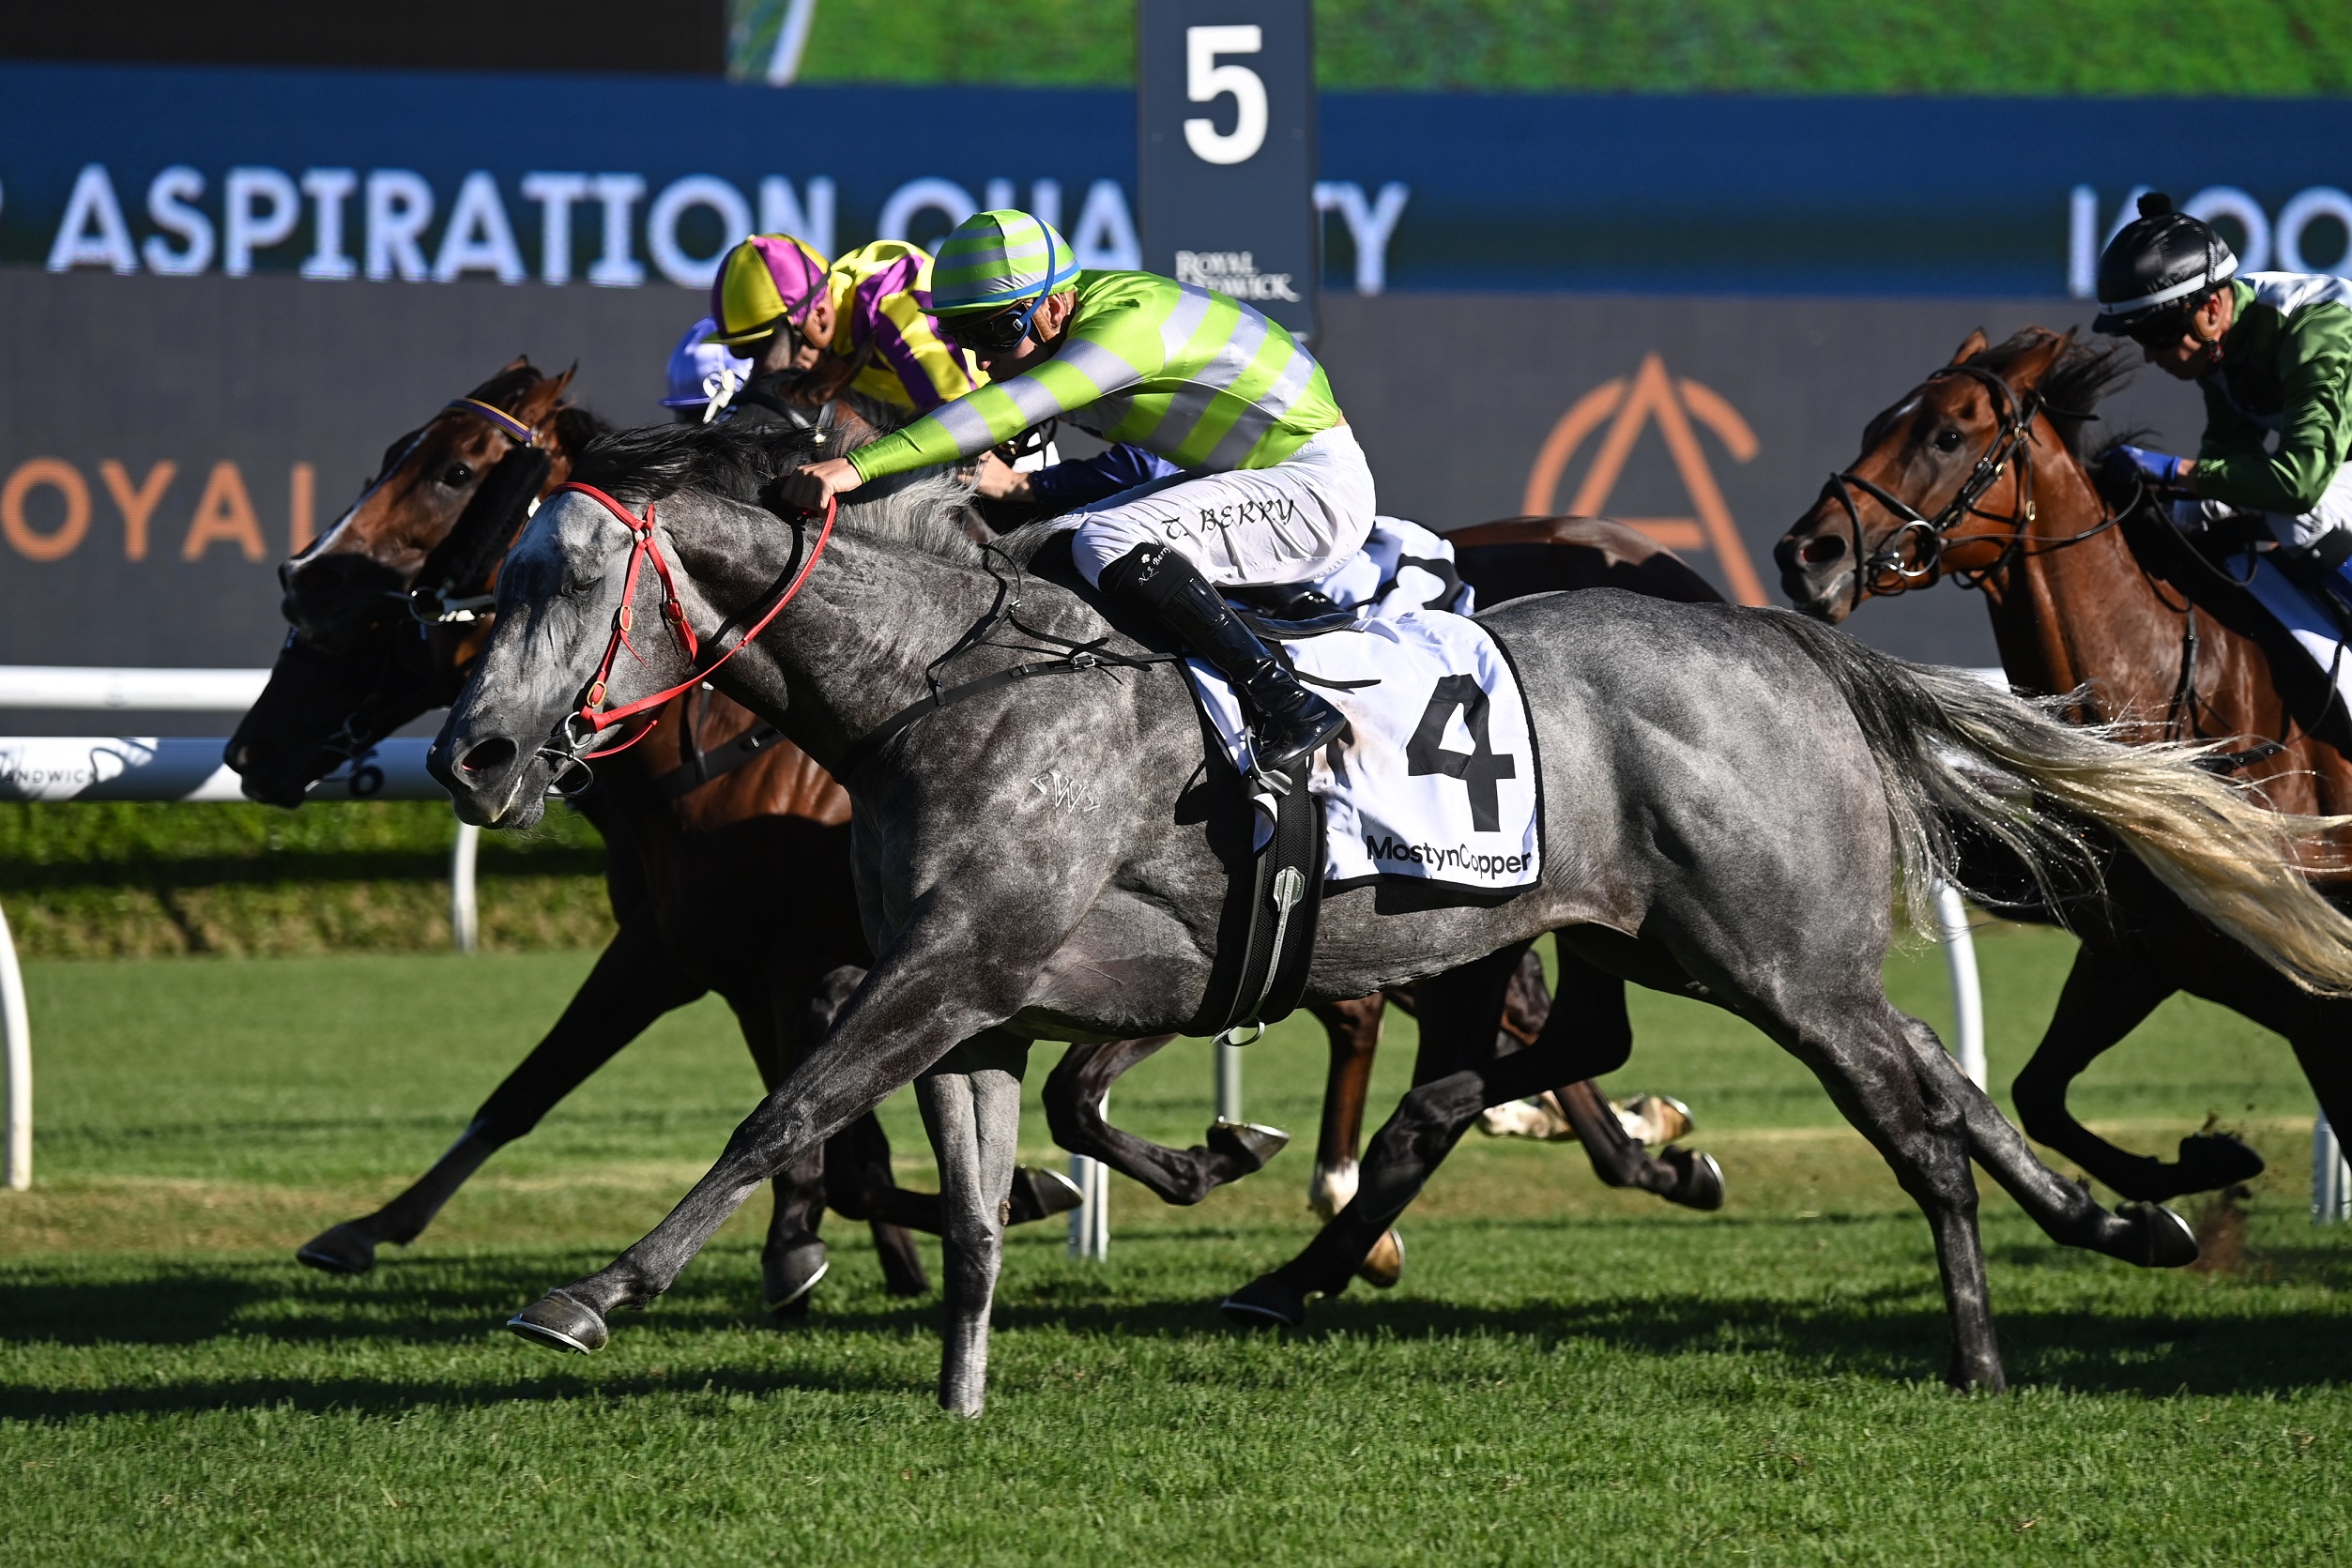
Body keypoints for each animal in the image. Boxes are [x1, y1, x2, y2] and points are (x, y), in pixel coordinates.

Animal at [237, 364, 1721, 1312]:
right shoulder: (719, 944)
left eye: (452, 467)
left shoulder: (820, 951)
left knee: (1474, 1035)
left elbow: (810, 1120)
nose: (304, 585)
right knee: (1505, 1031)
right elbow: (566, 1088)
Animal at [434, 415, 2352, 1411]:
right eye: (489, 583)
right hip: (1666, 941)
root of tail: (1783, 638)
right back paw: (2114, 1220)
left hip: (1775, 955)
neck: (939, 685)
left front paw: (591, 1293)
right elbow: (974, 1199)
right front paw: (965, 1388)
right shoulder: (972, 993)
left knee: (1917, 1116)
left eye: (576, 578)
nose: (471, 750)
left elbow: (785, 1113)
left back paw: (1982, 1340)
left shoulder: (947, 969)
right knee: (1891, 1082)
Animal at [1772, 326, 2352, 1202]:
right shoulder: (2141, 950)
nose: (1807, 551)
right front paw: (2202, 1163)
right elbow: (2038, 1093)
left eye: (1948, 435)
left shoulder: (2295, 976)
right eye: (1877, 424)